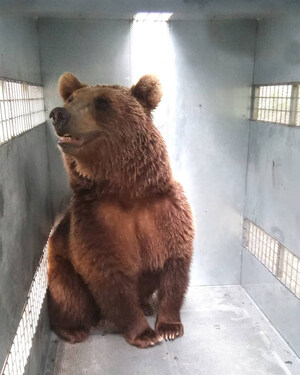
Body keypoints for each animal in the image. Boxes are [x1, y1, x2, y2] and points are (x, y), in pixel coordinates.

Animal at [47, 73, 195, 350]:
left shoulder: (167, 213)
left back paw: (146, 305)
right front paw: (145, 334)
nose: (58, 113)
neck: (128, 191)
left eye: (102, 102)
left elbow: (175, 265)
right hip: (61, 264)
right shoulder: (95, 222)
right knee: (69, 296)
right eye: (71, 99)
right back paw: (73, 330)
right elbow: (110, 276)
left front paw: (169, 327)